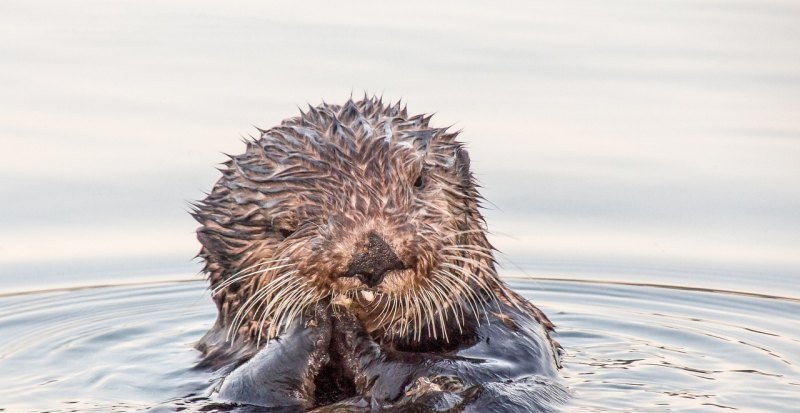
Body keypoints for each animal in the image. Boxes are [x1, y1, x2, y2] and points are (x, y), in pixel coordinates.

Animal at [194, 96, 568, 408]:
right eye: (287, 226)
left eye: (419, 181)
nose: (373, 257)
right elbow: (245, 385)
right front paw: (312, 322)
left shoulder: (517, 331)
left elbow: (475, 370)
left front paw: (349, 332)